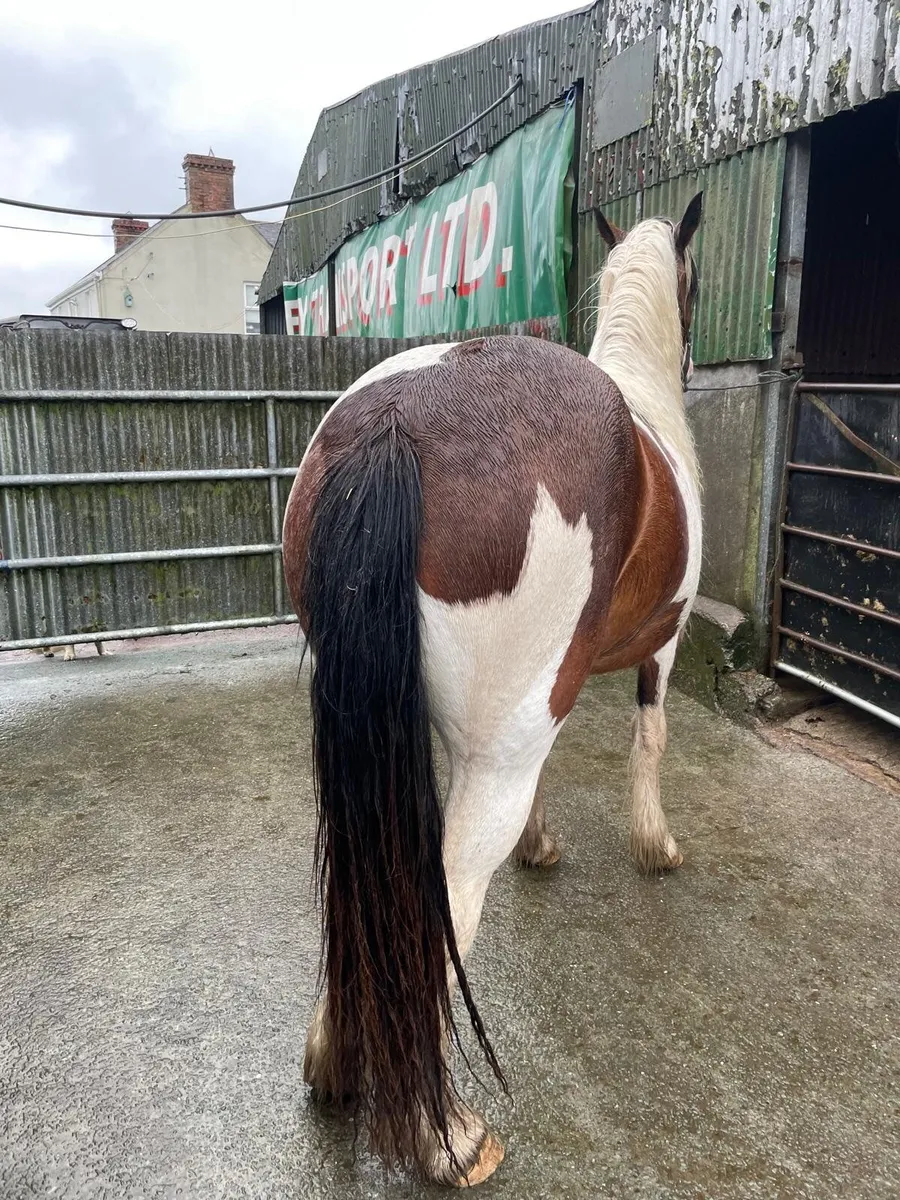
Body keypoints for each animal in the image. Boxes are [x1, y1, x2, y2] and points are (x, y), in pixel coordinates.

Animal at [281, 194, 703, 1186]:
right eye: (696, 287)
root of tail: (397, 419)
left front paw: (543, 846)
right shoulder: (660, 651)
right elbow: (652, 740)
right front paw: (656, 845)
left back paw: (334, 1062)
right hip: (496, 747)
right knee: (442, 890)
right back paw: (447, 1137)